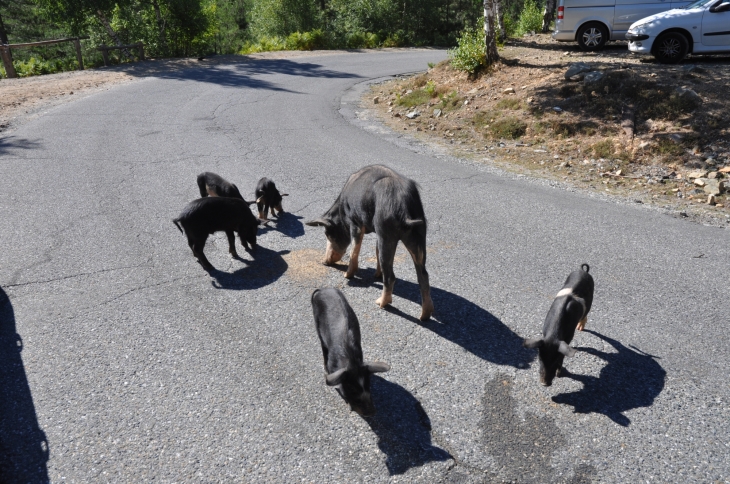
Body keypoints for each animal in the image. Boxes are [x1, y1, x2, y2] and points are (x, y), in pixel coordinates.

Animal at [302, 165, 432, 322]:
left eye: (327, 234)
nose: (324, 262)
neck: (342, 211)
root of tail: (404, 206)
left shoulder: (356, 223)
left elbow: (354, 251)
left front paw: (347, 275)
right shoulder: (376, 233)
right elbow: (374, 251)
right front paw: (376, 275)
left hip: (387, 234)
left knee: (391, 277)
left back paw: (381, 303)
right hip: (417, 236)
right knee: (423, 276)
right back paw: (424, 316)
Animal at [308, 288, 390, 416]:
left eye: (368, 385)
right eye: (352, 388)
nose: (372, 412)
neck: (352, 361)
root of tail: (323, 289)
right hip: (317, 324)